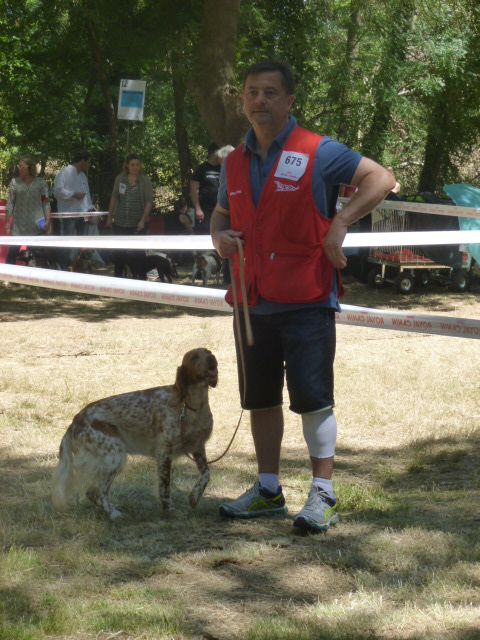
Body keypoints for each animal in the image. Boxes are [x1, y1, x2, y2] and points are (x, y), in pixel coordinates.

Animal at [52, 350, 218, 520]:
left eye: (208, 352)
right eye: (194, 357)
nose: (211, 358)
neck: (193, 406)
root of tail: (75, 420)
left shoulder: (198, 448)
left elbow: (206, 474)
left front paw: (194, 497)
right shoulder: (164, 453)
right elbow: (165, 488)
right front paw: (170, 510)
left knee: (93, 492)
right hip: (115, 455)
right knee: (96, 492)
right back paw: (114, 514)